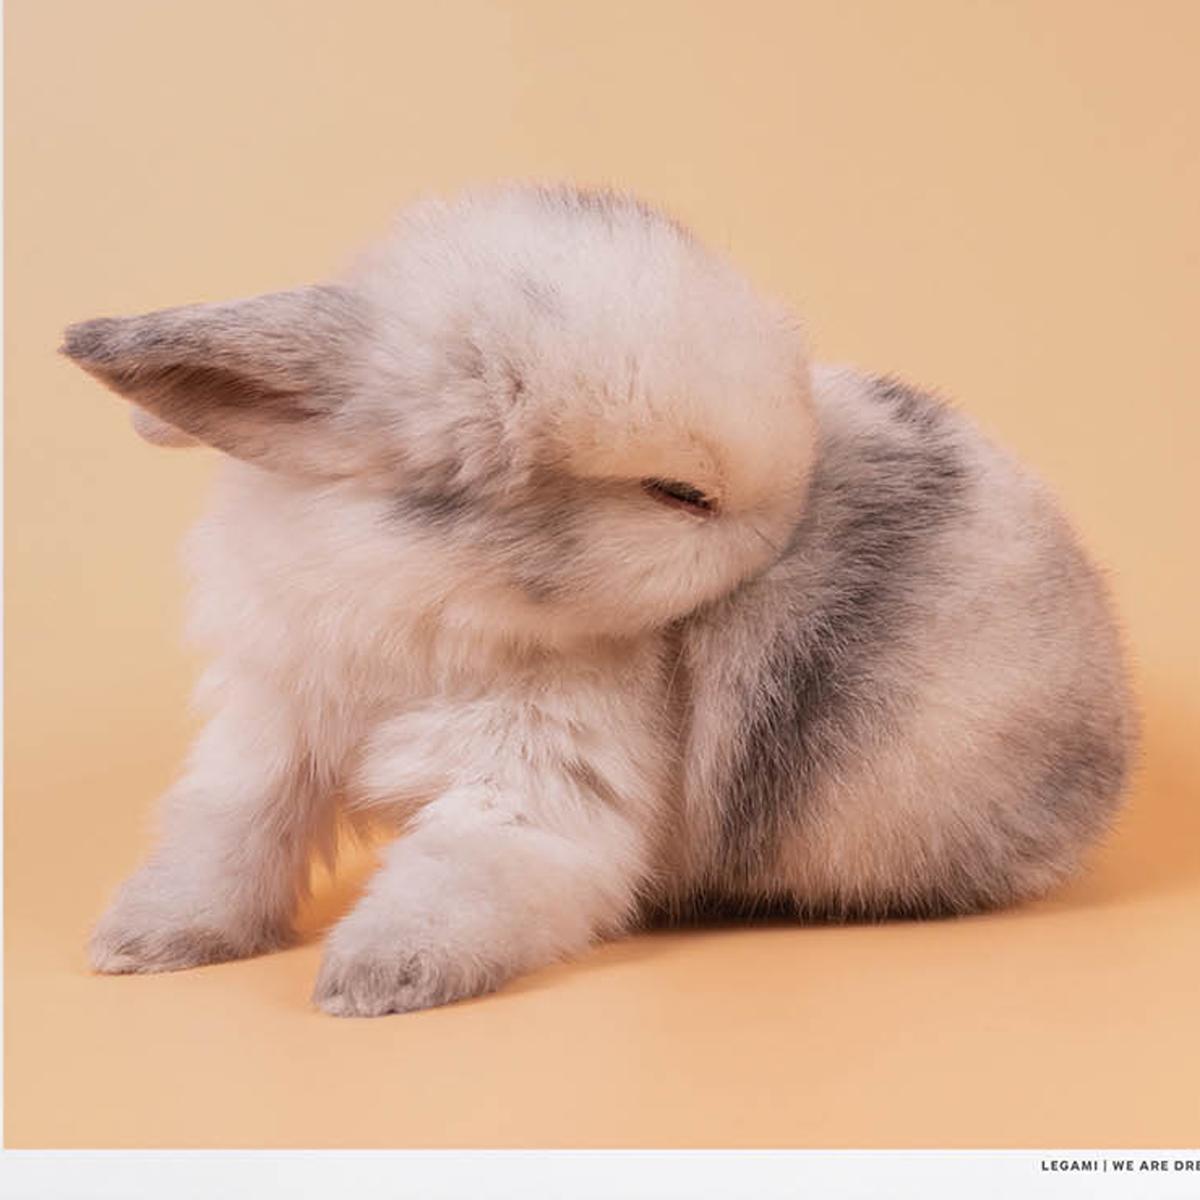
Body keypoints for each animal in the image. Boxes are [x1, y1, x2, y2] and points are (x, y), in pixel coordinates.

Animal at [61, 184, 1136, 1016]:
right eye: (680, 494)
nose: (787, 527)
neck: (416, 586)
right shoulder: (273, 729)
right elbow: (227, 837)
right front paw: (138, 943)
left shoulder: (533, 790)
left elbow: (456, 878)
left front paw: (371, 982)